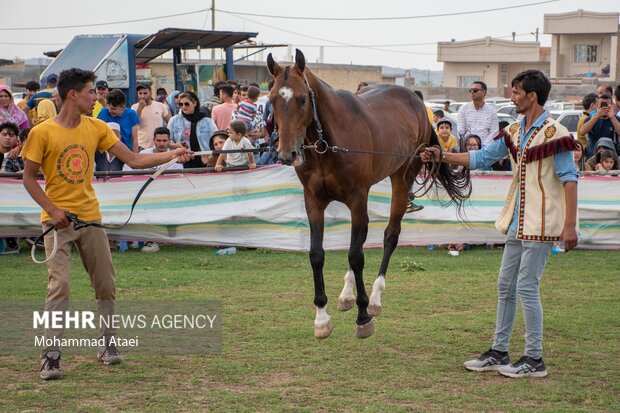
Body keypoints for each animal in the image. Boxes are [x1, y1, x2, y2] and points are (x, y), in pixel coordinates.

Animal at [266, 49, 470, 338]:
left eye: (302, 99)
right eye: (272, 99)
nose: (286, 153)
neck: (326, 144)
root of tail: (416, 100)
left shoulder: (356, 198)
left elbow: (356, 255)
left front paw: (363, 316)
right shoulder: (314, 201)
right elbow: (317, 255)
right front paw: (322, 318)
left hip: (403, 176)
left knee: (390, 236)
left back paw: (374, 298)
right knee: (361, 238)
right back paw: (347, 294)